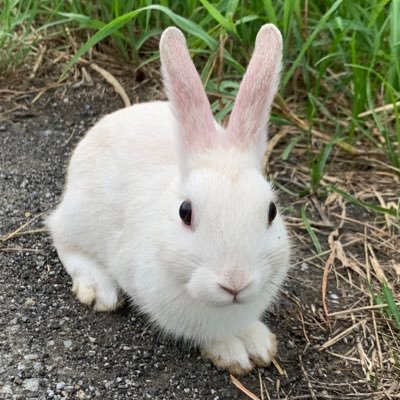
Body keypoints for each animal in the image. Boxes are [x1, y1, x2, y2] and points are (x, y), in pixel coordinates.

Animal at [47, 24, 290, 376]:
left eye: (271, 211)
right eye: (185, 212)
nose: (235, 282)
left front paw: (258, 344)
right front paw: (231, 353)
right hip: (80, 214)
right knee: (61, 236)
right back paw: (98, 289)